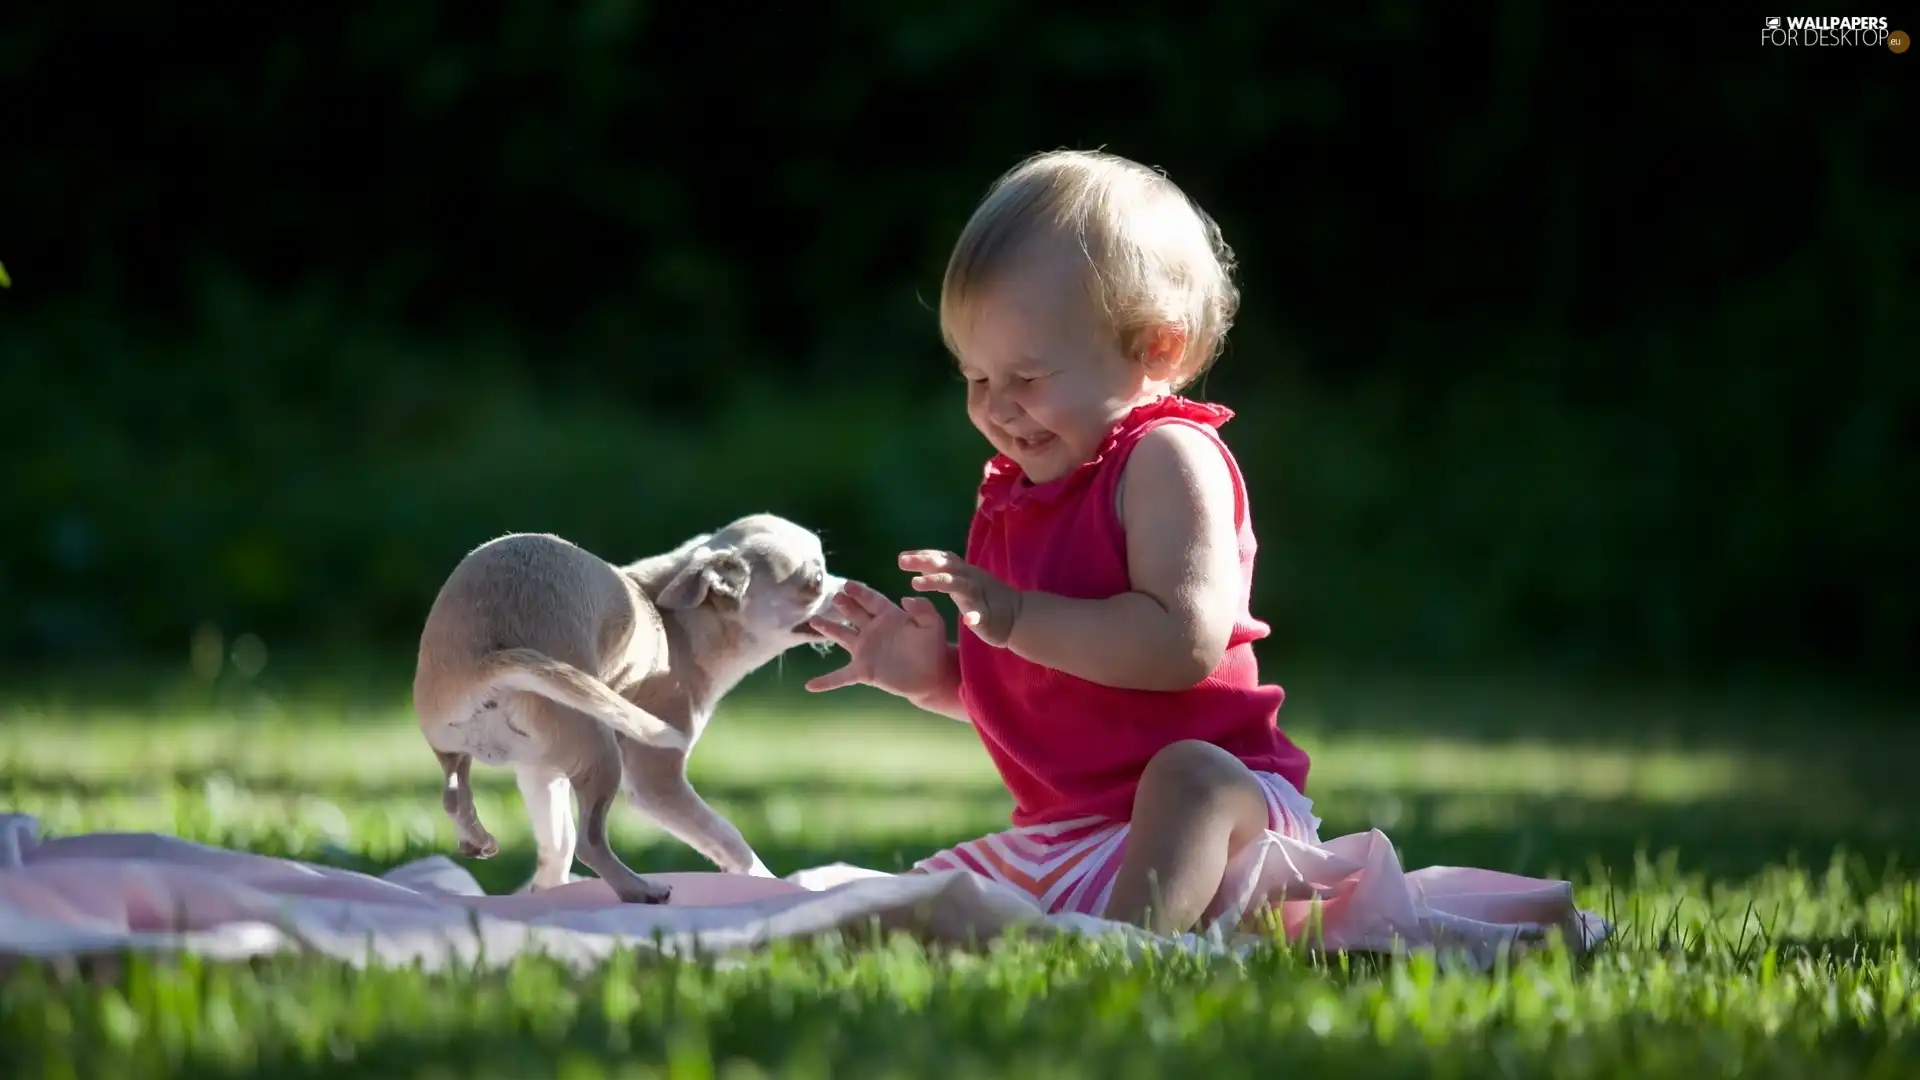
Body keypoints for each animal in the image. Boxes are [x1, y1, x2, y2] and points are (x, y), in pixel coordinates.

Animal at [408, 511, 844, 899]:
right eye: (816, 581)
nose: (848, 587)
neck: (677, 623)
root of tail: (485, 660)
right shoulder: (656, 780)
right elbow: (726, 835)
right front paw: (766, 879)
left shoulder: (539, 770)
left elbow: (555, 842)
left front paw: (547, 891)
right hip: (601, 753)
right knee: (589, 842)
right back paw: (638, 889)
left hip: (463, 741)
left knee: (456, 791)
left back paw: (476, 837)